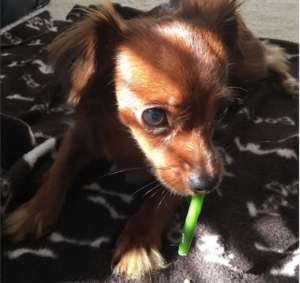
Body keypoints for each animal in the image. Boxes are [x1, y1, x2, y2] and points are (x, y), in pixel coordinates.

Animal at [2, 0, 298, 280]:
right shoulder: (81, 135)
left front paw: (138, 243)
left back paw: (288, 82)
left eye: (221, 110)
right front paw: (34, 211)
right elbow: (58, 169)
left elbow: (162, 196)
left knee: (271, 55)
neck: (126, 138)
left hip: (248, 65)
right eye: (154, 116)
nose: (208, 184)